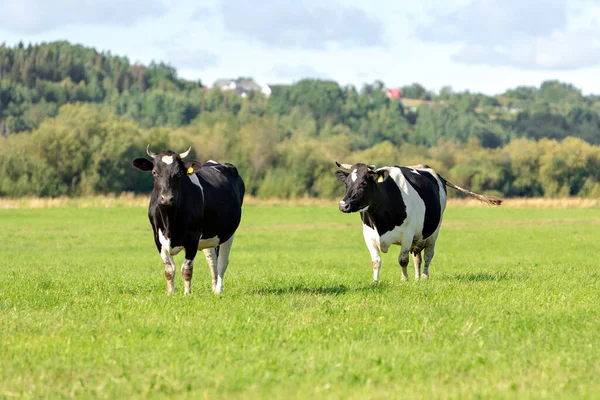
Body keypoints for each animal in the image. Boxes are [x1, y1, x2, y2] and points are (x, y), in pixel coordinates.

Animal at [132, 146, 245, 294]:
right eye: (154, 172)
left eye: (179, 173)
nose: (166, 198)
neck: (170, 222)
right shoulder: (158, 239)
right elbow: (169, 270)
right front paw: (170, 293)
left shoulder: (193, 238)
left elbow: (186, 270)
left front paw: (187, 294)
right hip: (209, 235)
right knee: (212, 261)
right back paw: (214, 288)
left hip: (228, 233)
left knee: (222, 262)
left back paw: (218, 290)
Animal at [332, 162, 502, 282]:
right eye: (347, 184)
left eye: (364, 184)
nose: (343, 205)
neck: (381, 222)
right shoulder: (369, 235)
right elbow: (376, 261)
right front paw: (376, 281)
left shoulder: (407, 234)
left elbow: (402, 260)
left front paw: (404, 279)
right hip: (418, 237)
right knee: (417, 257)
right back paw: (417, 277)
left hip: (433, 231)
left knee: (428, 255)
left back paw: (425, 276)